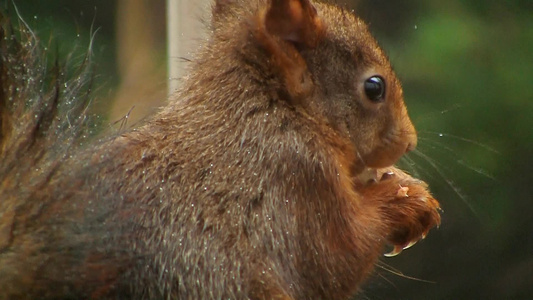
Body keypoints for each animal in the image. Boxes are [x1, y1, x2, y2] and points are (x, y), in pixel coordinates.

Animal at [0, 0, 440, 298]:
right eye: (374, 87)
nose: (410, 140)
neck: (268, 104)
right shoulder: (296, 176)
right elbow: (339, 256)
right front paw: (405, 199)